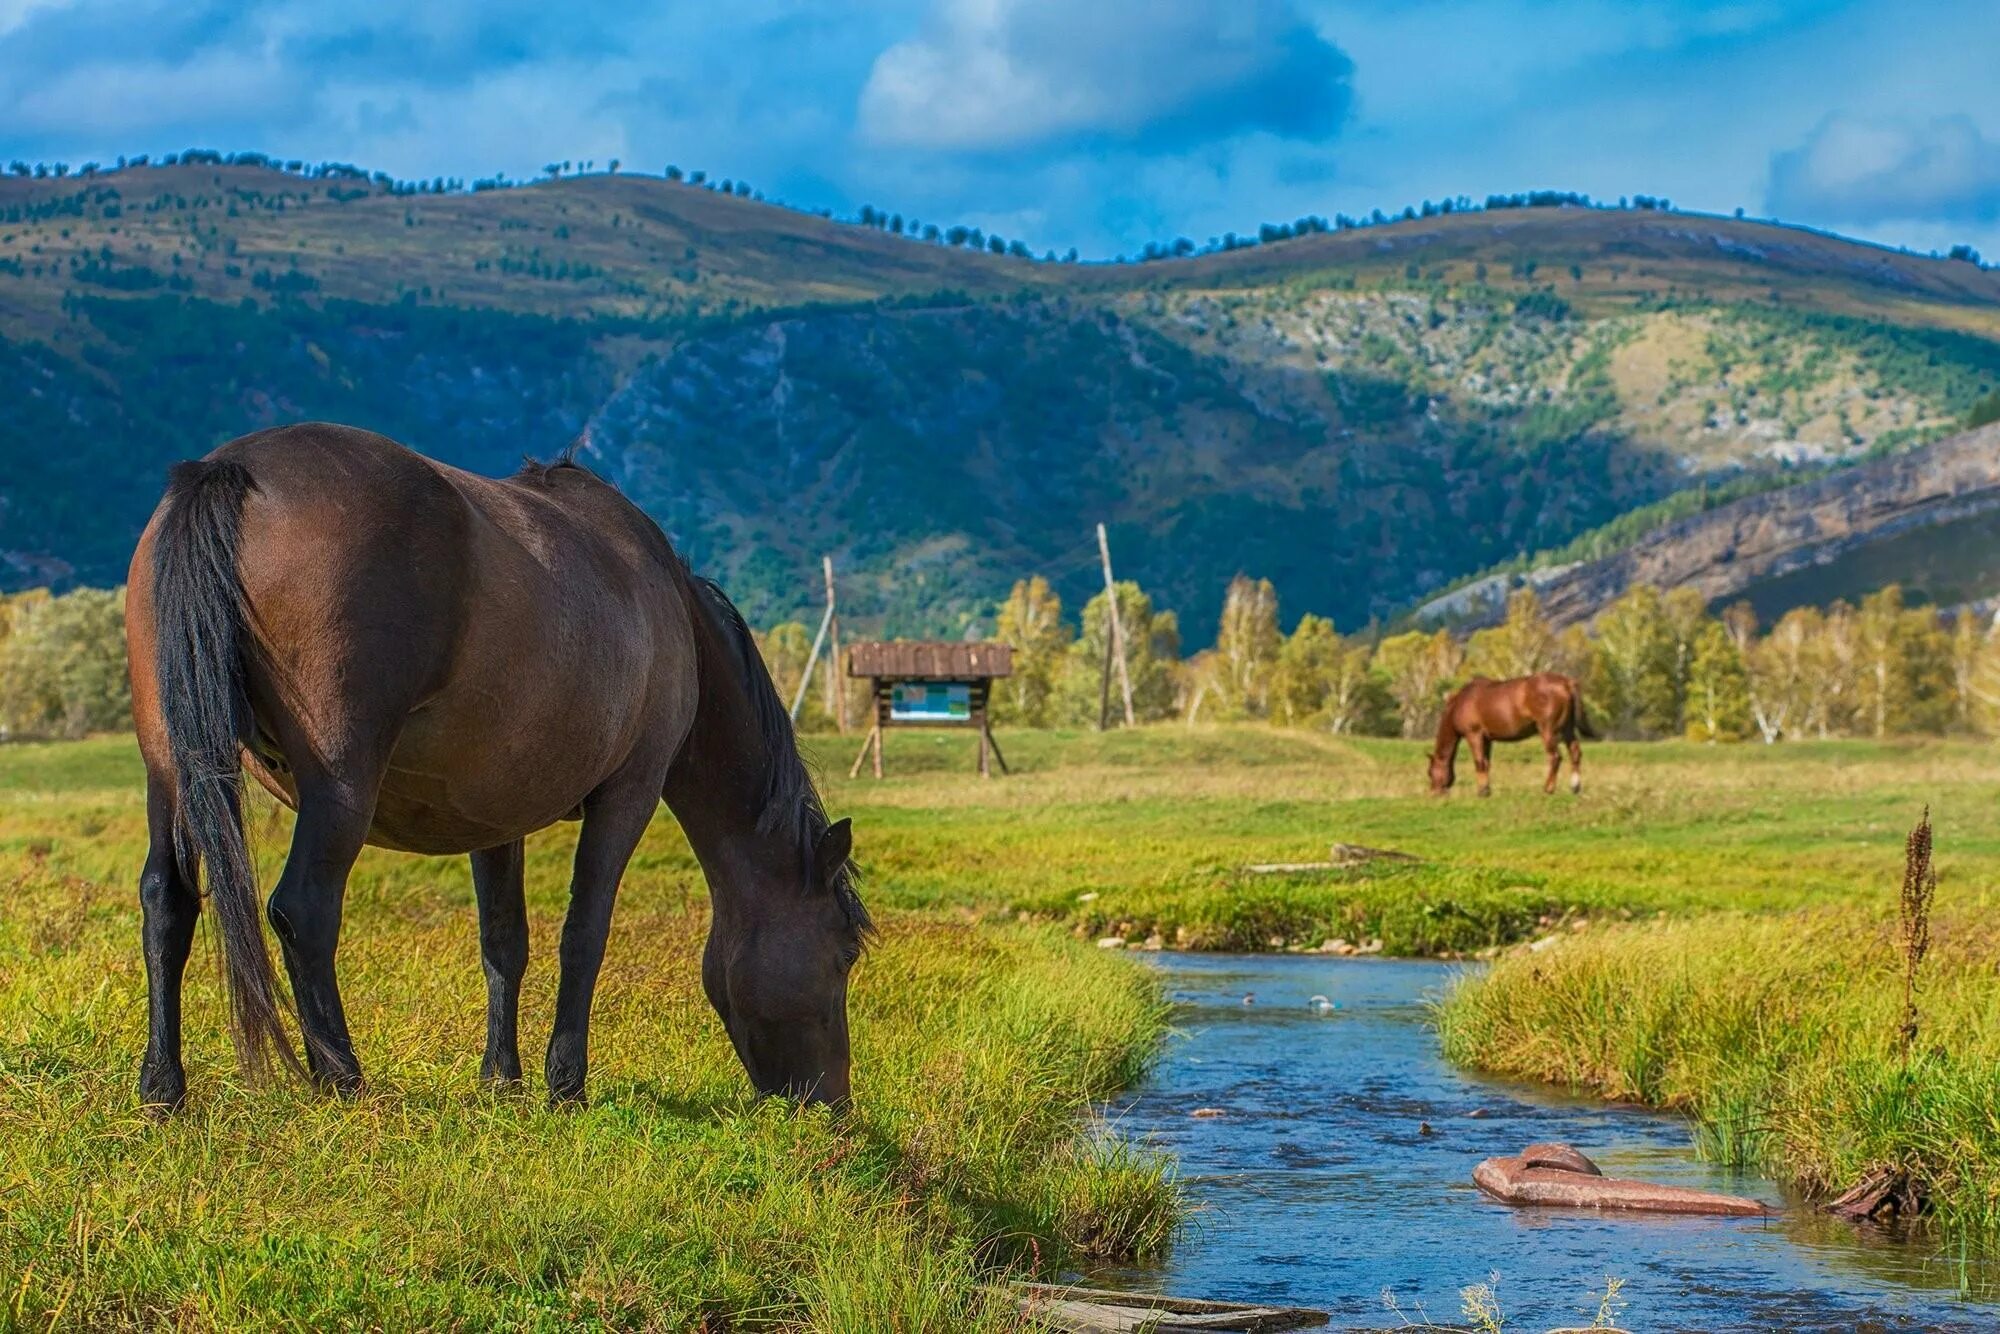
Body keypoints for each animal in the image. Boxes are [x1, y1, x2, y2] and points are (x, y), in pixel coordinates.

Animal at [125, 426, 868, 1120]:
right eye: (843, 954)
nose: (832, 1103)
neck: (666, 605)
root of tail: (232, 468)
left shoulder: (493, 817)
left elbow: (505, 943)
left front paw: (501, 1080)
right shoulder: (629, 796)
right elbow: (583, 936)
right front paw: (565, 1084)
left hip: (170, 770)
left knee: (167, 900)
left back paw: (163, 1088)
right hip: (339, 787)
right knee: (303, 910)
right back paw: (343, 1080)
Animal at [1424, 672, 1592, 800]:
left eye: (1430, 772)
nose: (1434, 793)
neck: (1460, 702)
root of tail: (1566, 683)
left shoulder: (1474, 735)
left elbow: (1479, 762)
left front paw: (1481, 792)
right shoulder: (1487, 739)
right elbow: (1486, 763)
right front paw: (1487, 790)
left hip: (1548, 731)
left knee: (1555, 757)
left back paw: (1548, 788)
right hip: (1567, 729)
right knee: (1575, 753)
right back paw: (1575, 786)